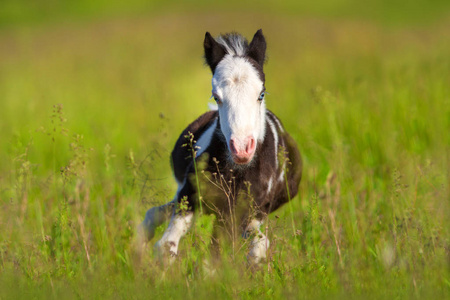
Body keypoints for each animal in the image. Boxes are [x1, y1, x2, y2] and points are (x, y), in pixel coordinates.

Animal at [141, 29, 302, 264]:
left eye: (261, 94)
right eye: (216, 97)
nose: (242, 149)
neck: (235, 172)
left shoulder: (242, 213)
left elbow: (224, 255)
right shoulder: (189, 194)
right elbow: (167, 246)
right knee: (153, 215)